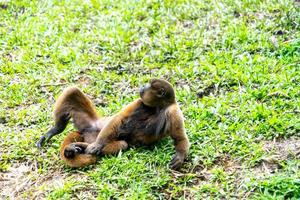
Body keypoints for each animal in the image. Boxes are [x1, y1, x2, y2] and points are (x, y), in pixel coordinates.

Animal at [36, 79, 189, 170]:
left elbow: (179, 137)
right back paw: (56, 130)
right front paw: (97, 145)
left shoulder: (173, 111)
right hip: (90, 124)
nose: (142, 87)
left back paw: (77, 148)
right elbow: (118, 119)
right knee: (72, 90)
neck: (157, 107)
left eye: (148, 86)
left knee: (122, 144)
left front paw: (180, 156)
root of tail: (86, 132)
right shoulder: (139, 102)